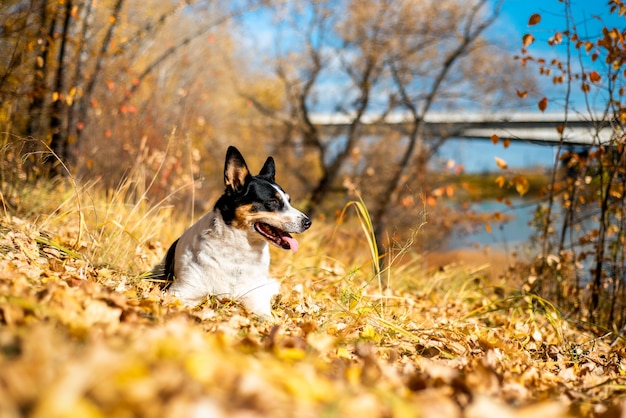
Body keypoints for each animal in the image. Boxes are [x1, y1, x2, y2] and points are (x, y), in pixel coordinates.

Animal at [149, 146, 310, 316]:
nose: (308, 222)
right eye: (272, 201)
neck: (239, 253)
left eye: (289, 201)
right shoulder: (181, 293)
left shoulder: (255, 299)